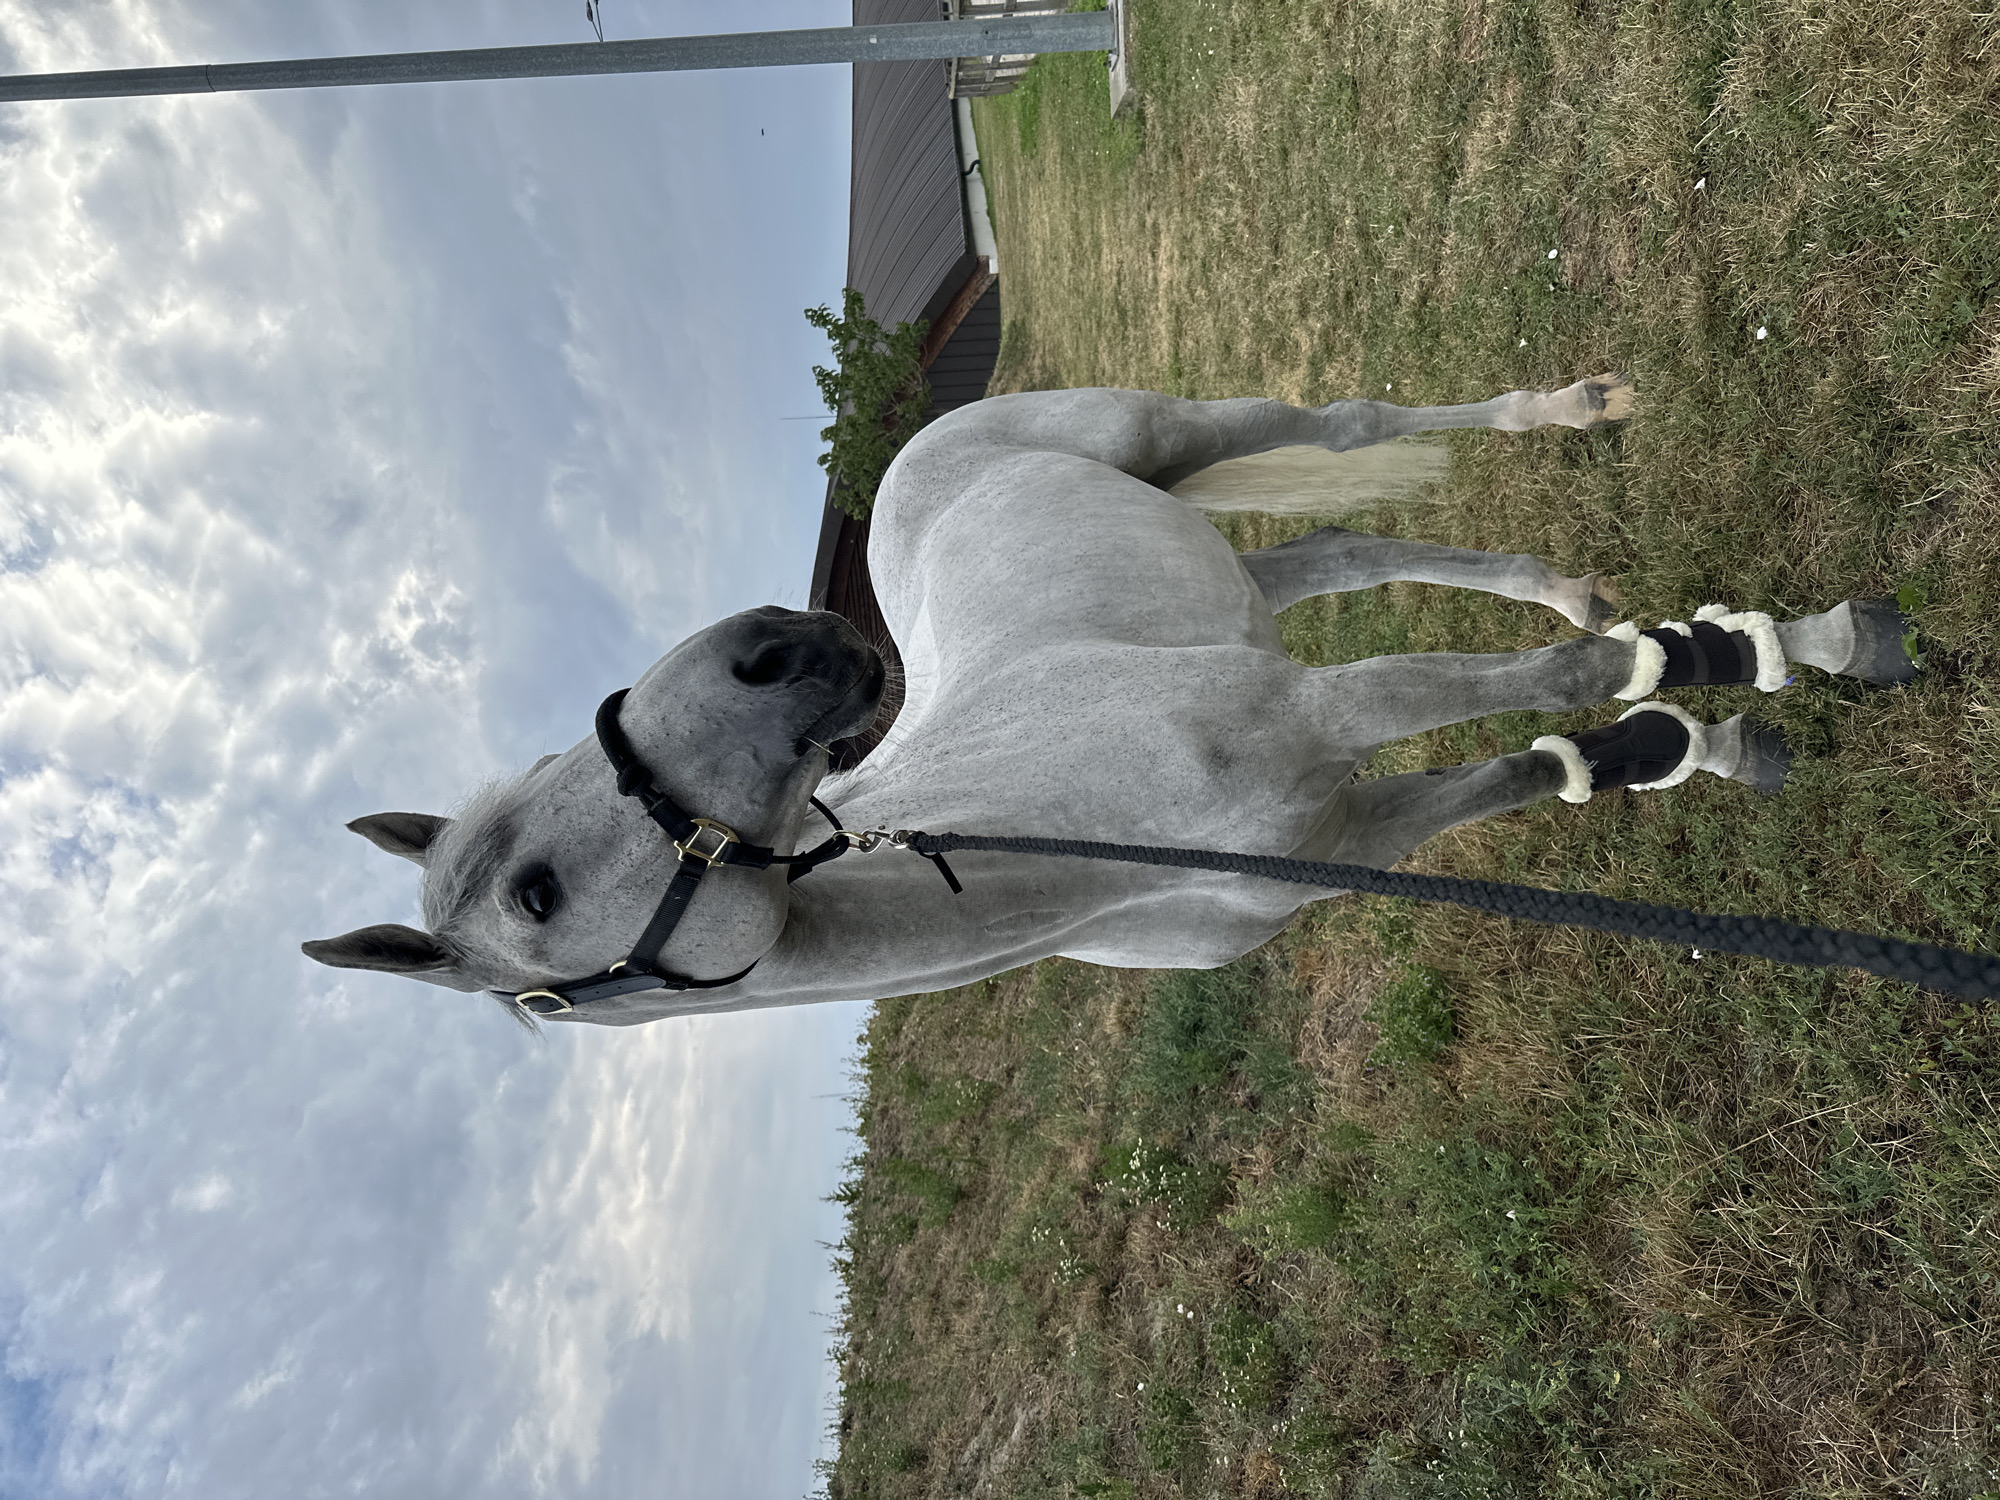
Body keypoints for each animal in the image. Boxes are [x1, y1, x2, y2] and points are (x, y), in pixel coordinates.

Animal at [303, 378, 1913, 1022]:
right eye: (535, 890)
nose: (774, 642)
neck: (1095, 848)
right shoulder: (1355, 830)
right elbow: (1544, 755)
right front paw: (1702, 735)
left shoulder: (1328, 721)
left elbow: (1567, 689)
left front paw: (1775, 650)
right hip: (1236, 573)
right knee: (1354, 543)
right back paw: (1569, 582)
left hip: (1182, 432)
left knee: (1351, 427)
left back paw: (1571, 418)